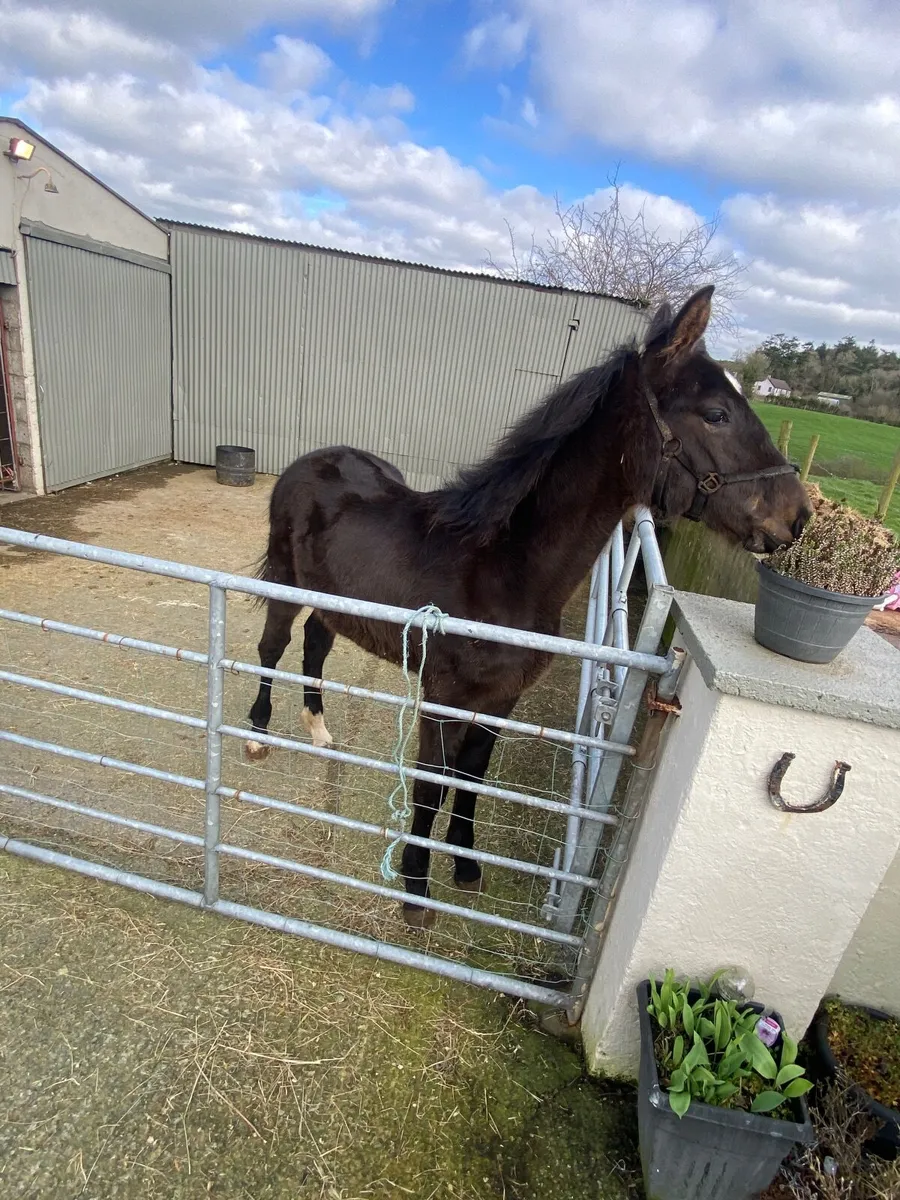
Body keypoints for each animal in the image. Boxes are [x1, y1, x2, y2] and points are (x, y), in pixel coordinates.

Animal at [246, 285, 810, 928]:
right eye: (716, 413)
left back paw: (319, 731)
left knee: (316, 643)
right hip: (286, 582)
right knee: (274, 645)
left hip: (332, 601)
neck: (504, 569)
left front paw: (466, 867)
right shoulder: (443, 697)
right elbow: (432, 782)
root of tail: (309, 461)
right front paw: (416, 889)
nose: (796, 517)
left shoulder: (502, 701)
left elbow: (473, 778)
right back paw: (257, 734)